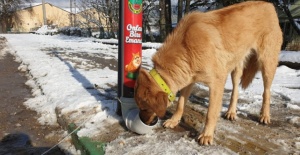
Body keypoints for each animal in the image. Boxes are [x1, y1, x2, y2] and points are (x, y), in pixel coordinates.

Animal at [135, 1, 282, 145]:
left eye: (144, 108)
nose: (144, 123)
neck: (185, 47)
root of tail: (268, 4)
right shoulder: (189, 79)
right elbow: (180, 104)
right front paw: (174, 120)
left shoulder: (217, 83)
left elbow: (210, 113)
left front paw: (207, 134)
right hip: (235, 68)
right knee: (235, 91)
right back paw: (231, 111)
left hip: (267, 64)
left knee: (266, 92)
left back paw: (264, 115)